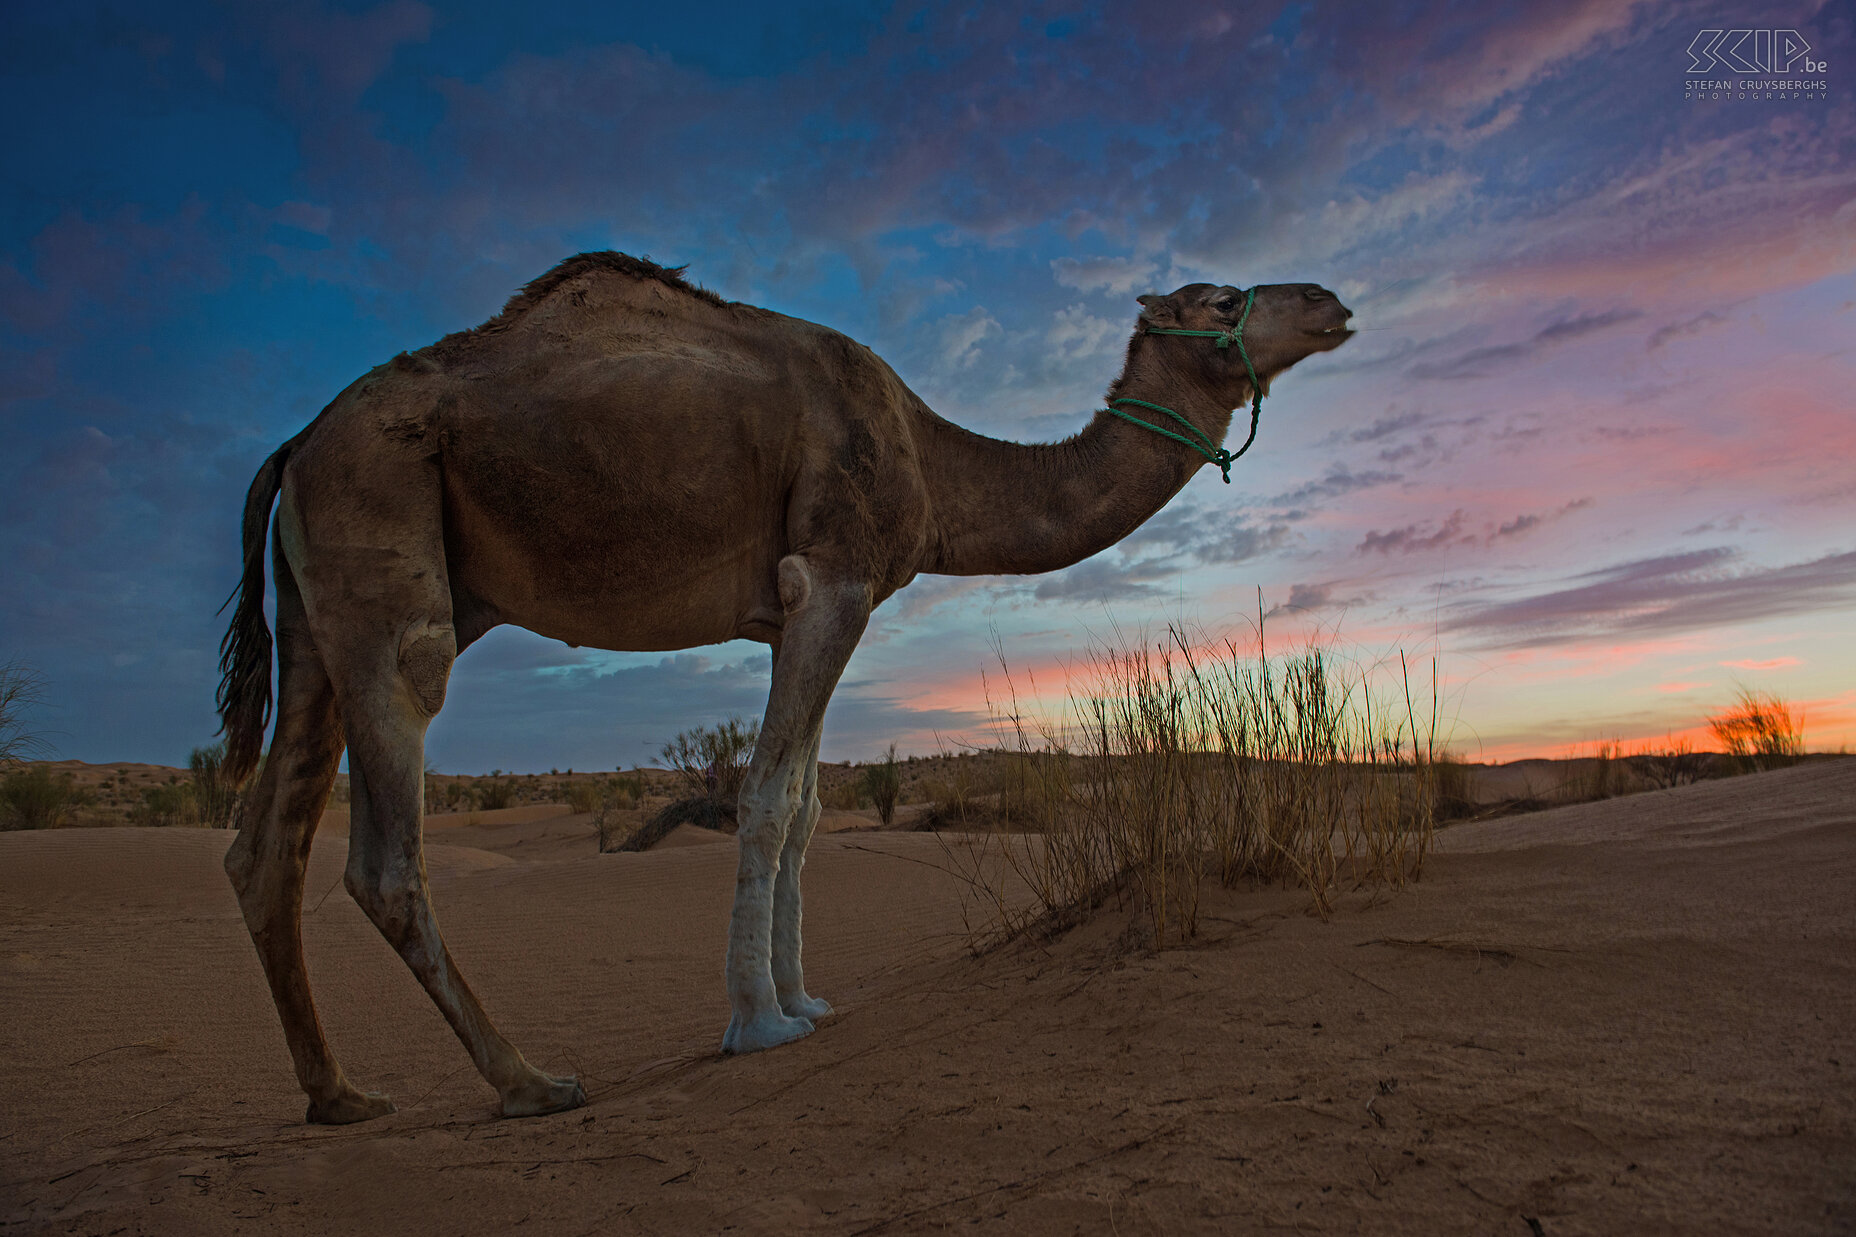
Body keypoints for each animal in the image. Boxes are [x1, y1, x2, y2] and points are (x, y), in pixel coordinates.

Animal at [217, 250, 1358, 1114]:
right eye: (1221, 299)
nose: (1331, 301)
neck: (931, 458)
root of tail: (293, 444)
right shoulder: (833, 577)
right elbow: (766, 799)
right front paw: (757, 1022)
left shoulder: (786, 613)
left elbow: (807, 805)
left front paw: (806, 1003)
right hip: (383, 545)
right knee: (386, 834)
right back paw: (530, 1081)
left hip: (314, 620)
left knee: (263, 843)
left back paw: (338, 1093)